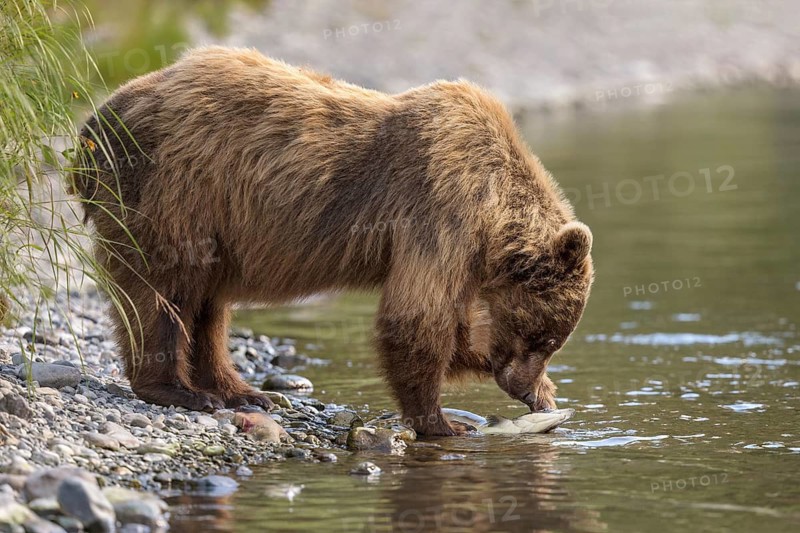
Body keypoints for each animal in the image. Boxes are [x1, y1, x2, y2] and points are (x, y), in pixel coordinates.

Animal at [71, 46, 594, 436]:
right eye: (546, 337)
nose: (526, 388)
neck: (494, 209)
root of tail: (94, 124)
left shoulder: (466, 255)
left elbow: (454, 324)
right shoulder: (441, 208)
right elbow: (415, 317)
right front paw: (443, 422)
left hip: (214, 222)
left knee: (207, 304)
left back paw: (241, 390)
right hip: (175, 188)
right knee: (162, 290)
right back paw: (181, 391)